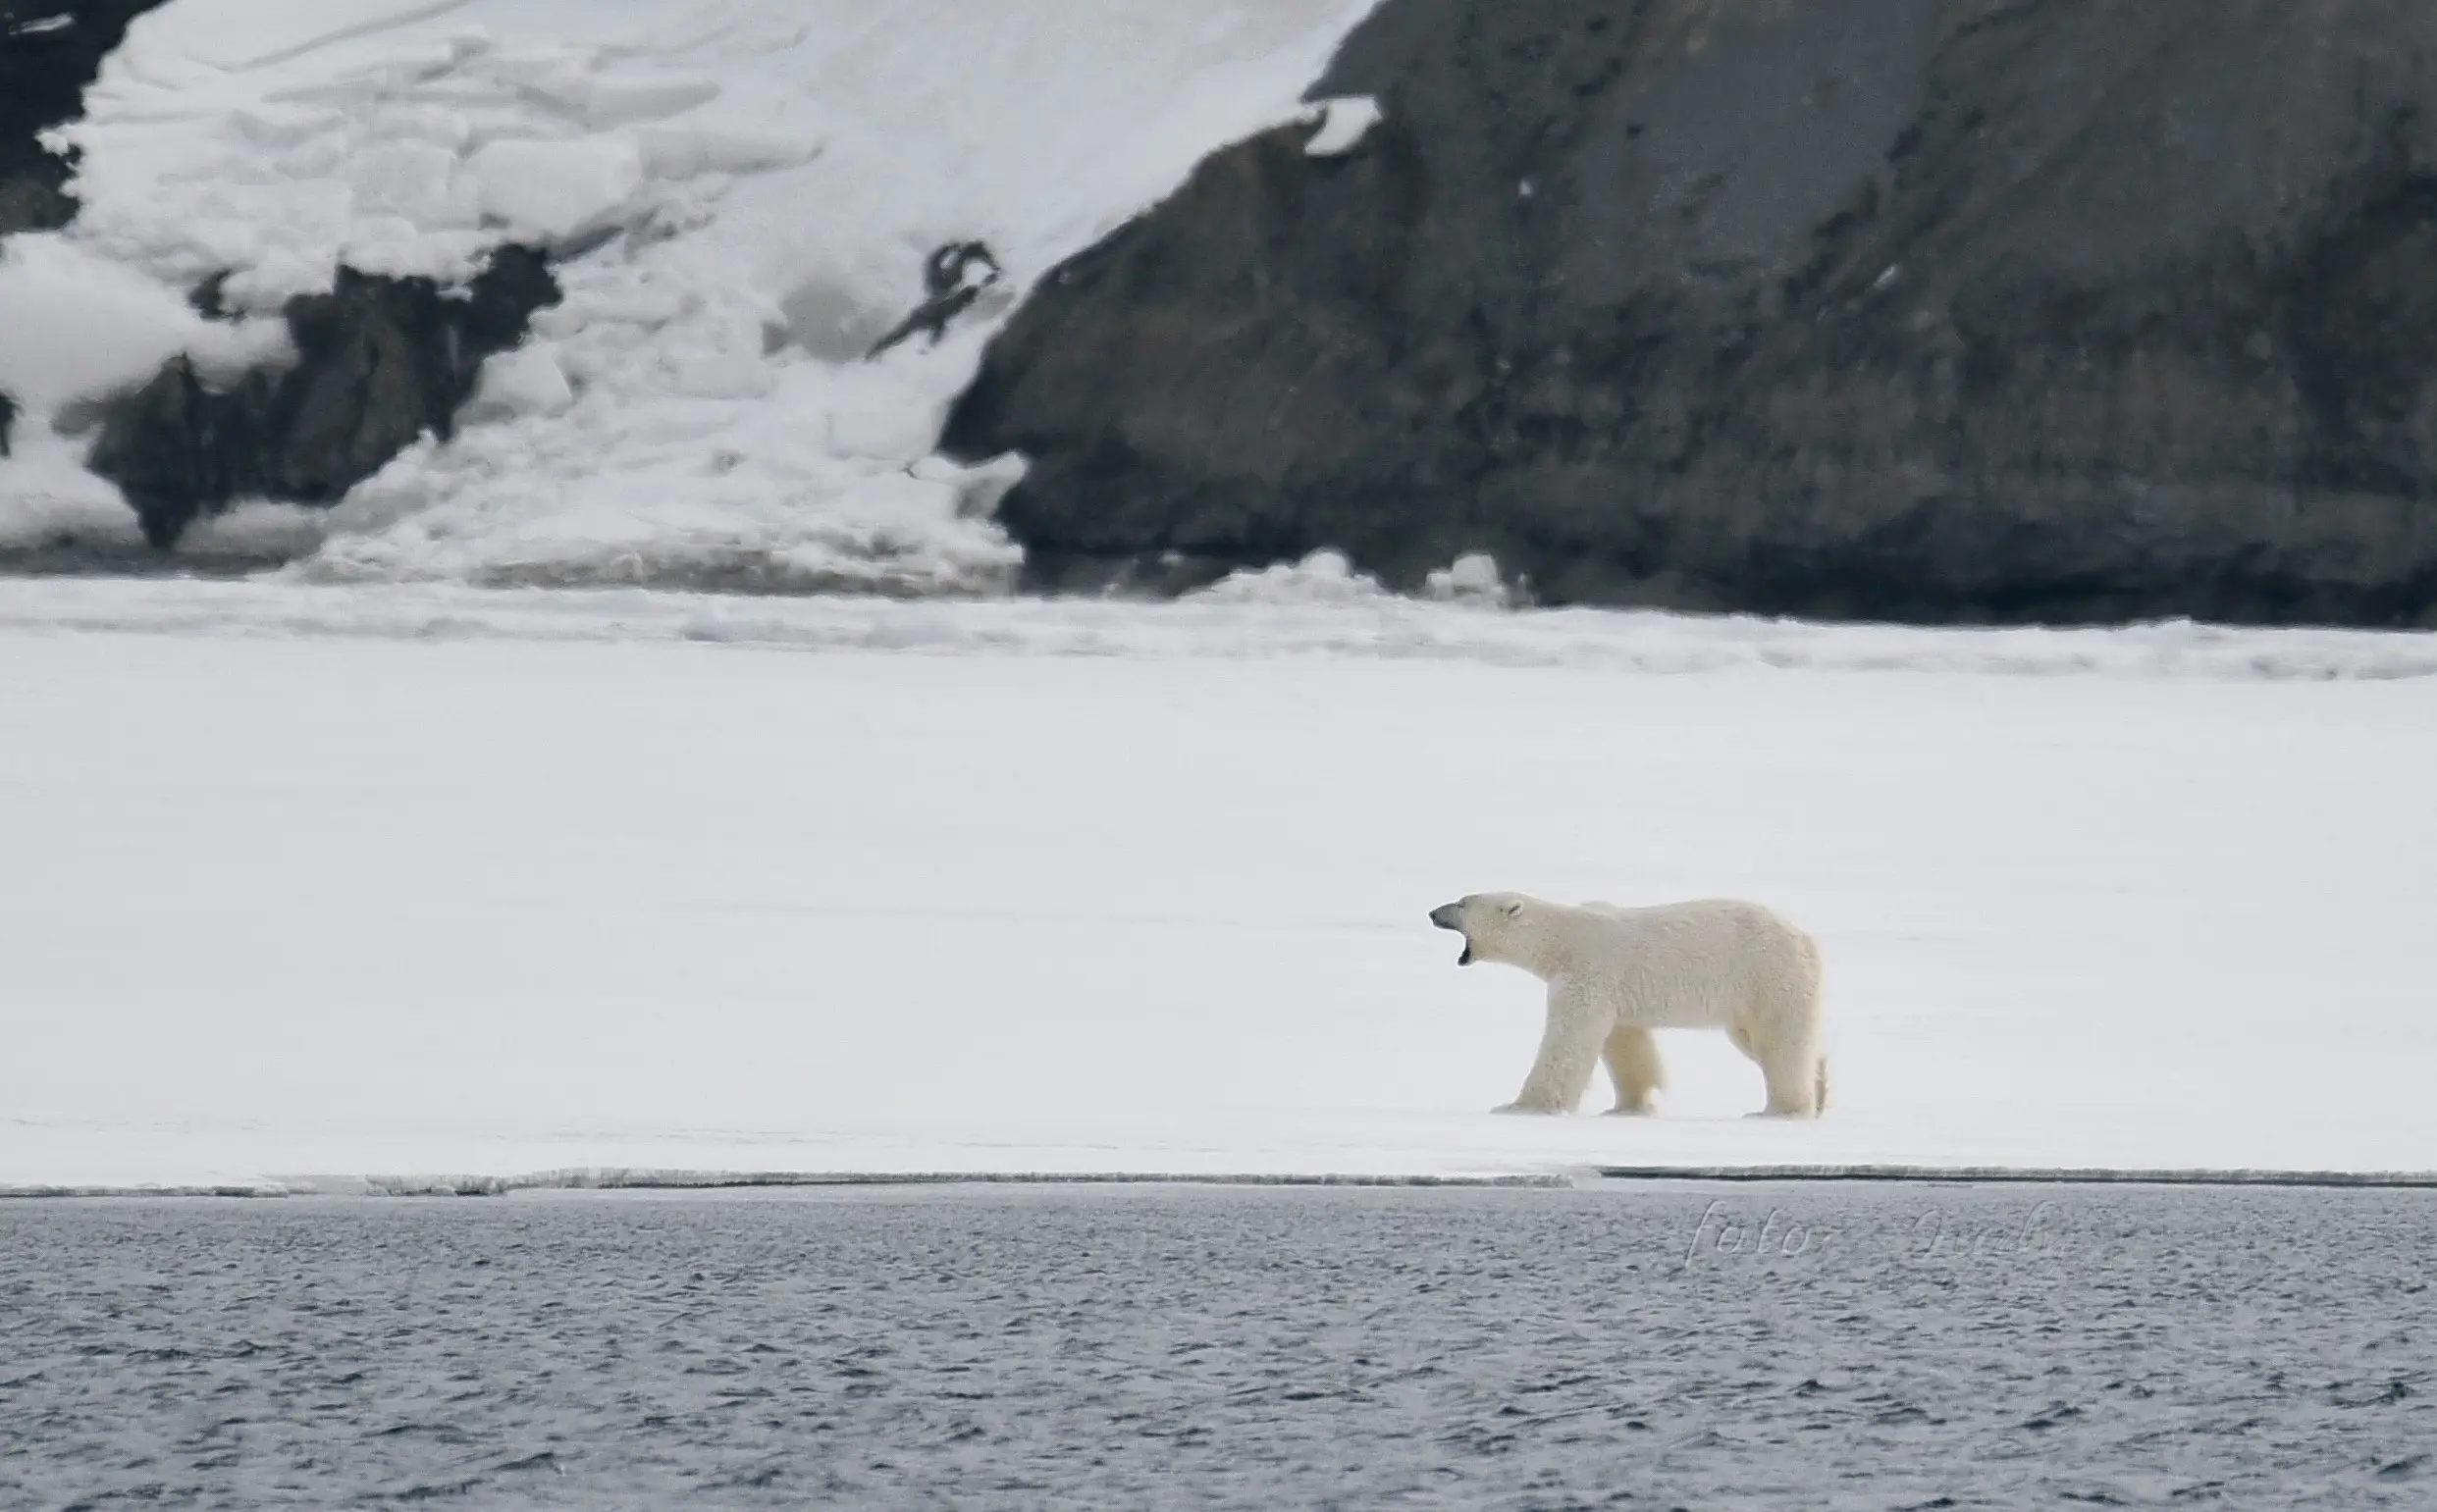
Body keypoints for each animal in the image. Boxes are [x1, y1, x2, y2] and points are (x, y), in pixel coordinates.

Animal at [1427, 893, 1829, 1118]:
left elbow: (1567, 1043)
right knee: (1764, 1041)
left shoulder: (1587, 974)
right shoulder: (1615, 993)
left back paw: (1780, 1110)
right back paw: (1821, 1088)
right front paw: (1629, 1106)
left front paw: (1522, 1107)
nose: (1432, 912)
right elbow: (1626, 1043)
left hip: (1766, 975)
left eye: (1462, 902)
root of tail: (1807, 939)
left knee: (1779, 1042)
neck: (1562, 939)